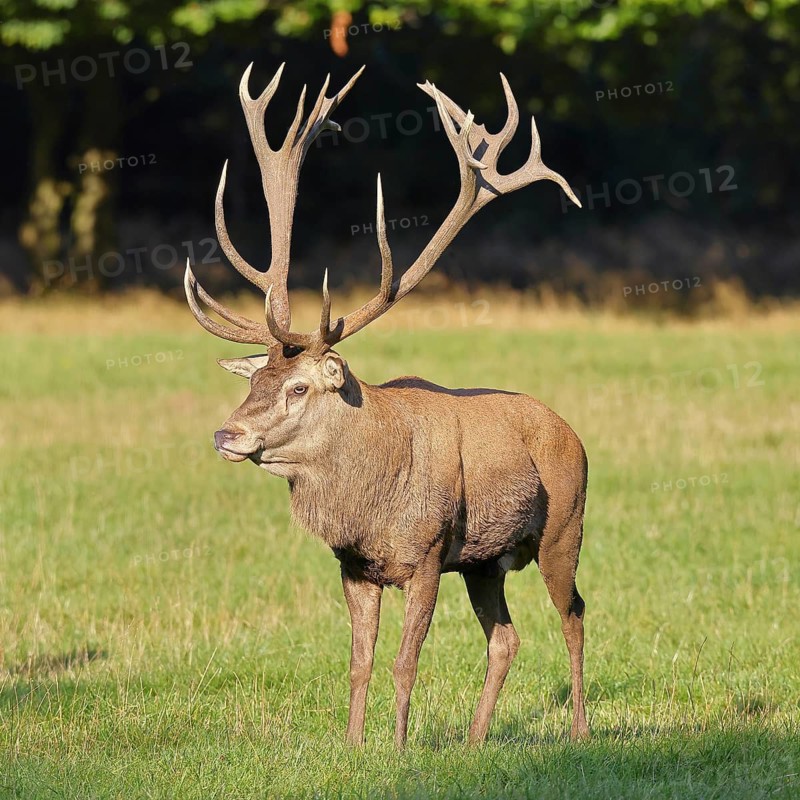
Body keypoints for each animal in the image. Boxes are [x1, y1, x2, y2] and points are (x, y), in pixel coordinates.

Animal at [183, 62, 589, 748]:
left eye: (298, 387)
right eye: (253, 380)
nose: (226, 435)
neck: (371, 505)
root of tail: (575, 434)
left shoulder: (426, 555)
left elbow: (405, 661)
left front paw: (397, 748)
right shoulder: (355, 566)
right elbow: (359, 661)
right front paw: (352, 745)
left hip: (564, 526)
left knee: (574, 614)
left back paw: (582, 729)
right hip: (485, 562)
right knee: (505, 638)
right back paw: (476, 739)